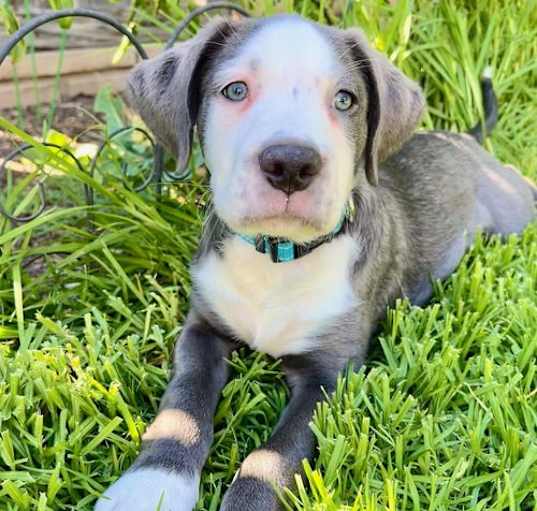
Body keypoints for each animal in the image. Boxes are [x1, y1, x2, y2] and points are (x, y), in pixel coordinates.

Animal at [94, 12, 532, 511]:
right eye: (235, 90)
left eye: (345, 99)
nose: (290, 164)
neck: (278, 258)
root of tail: (461, 137)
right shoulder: (202, 330)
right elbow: (181, 406)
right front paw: (151, 483)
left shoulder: (330, 374)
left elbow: (273, 457)